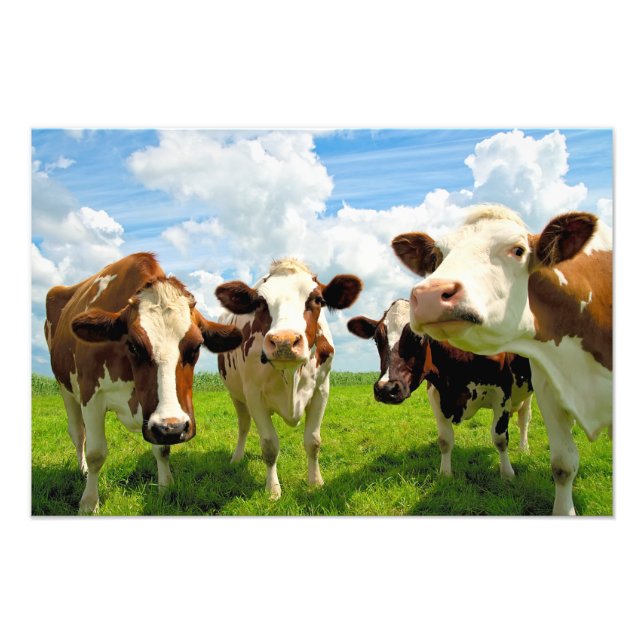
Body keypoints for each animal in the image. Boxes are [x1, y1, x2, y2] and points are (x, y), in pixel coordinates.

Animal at [45, 252, 243, 514]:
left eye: (196, 346)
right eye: (134, 346)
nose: (174, 428)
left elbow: (162, 449)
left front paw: (166, 487)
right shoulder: (91, 396)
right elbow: (96, 453)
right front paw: (89, 502)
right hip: (65, 389)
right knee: (78, 433)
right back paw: (82, 470)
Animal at [215, 258, 362, 499]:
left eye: (318, 299)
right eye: (260, 303)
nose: (284, 341)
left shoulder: (322, 390)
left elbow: (313, 441)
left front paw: (315, 482)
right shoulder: (253, 394)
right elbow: (269, 445)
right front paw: (273, 489)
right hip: (236, 395)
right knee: (244, 425)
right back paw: (236, 458)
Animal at [348, 299, 533, 479]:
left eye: (417, 337)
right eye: (376, 339)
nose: (386, 389)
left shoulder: (502, 393)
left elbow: (500, 437)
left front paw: (507, 475)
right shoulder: (436, 394)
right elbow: (445, 440)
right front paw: (445, 474)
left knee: (524, 418)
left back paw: (524, 448)